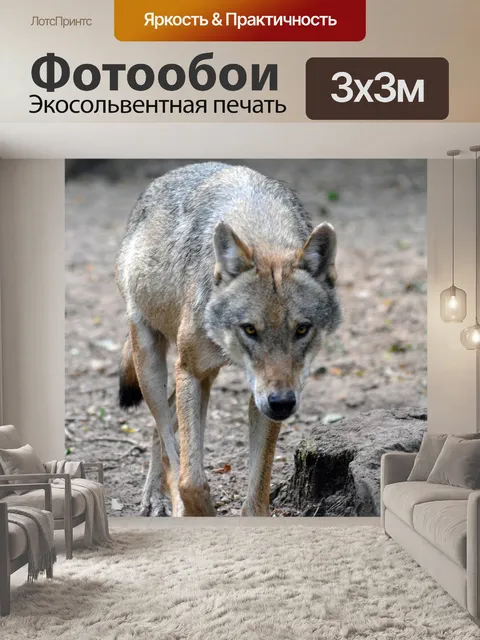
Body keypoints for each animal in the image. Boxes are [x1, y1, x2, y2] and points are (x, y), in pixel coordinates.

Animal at [115, 162, 342, 517]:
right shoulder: (190, 373)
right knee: (165, 431)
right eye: (249, 329)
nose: (282, 403)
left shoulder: (260, 396)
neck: (262, 231)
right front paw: (197, 511)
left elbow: (257, 495)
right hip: (154, 364)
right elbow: (190, 481)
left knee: (164, 429)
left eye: (302, 329)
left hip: (207, 378)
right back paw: (159, 498)